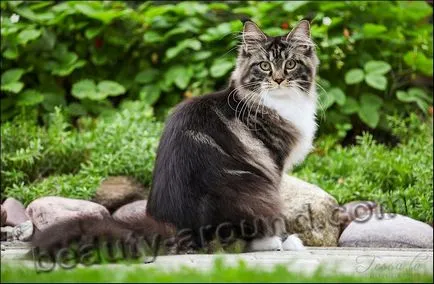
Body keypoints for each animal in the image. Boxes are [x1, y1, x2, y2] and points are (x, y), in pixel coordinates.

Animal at [146, 18, 318, 252]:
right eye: (264, 66)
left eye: (290, 64)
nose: (279, 79)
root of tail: (182, 229)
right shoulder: (274, 163)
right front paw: (285, 239)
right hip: (255, 190)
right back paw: (272, 241)